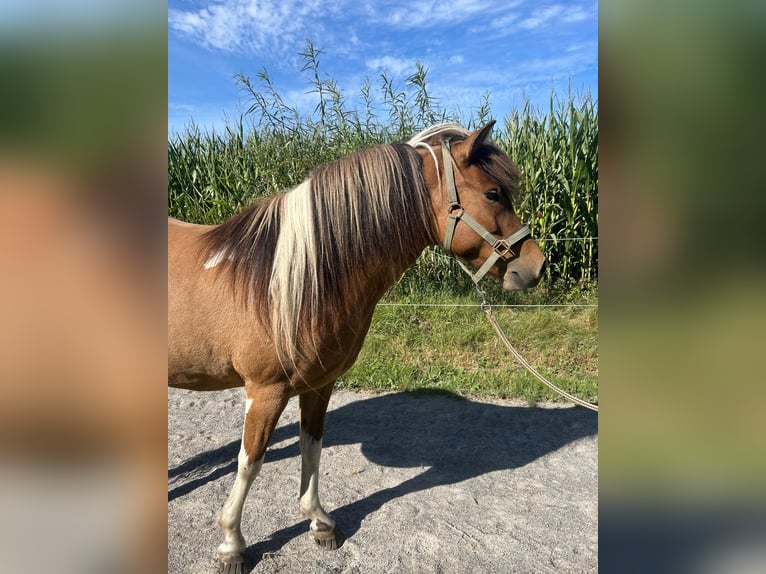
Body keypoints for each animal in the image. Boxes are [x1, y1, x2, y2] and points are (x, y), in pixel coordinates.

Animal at [168, 120, 547, 572]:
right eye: (492, 194)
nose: (536, 266)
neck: (292, 279)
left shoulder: (318, 385)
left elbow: (312, 449)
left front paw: (319, 522)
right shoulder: (265, 391)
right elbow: (249, 462)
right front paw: (232, 544)